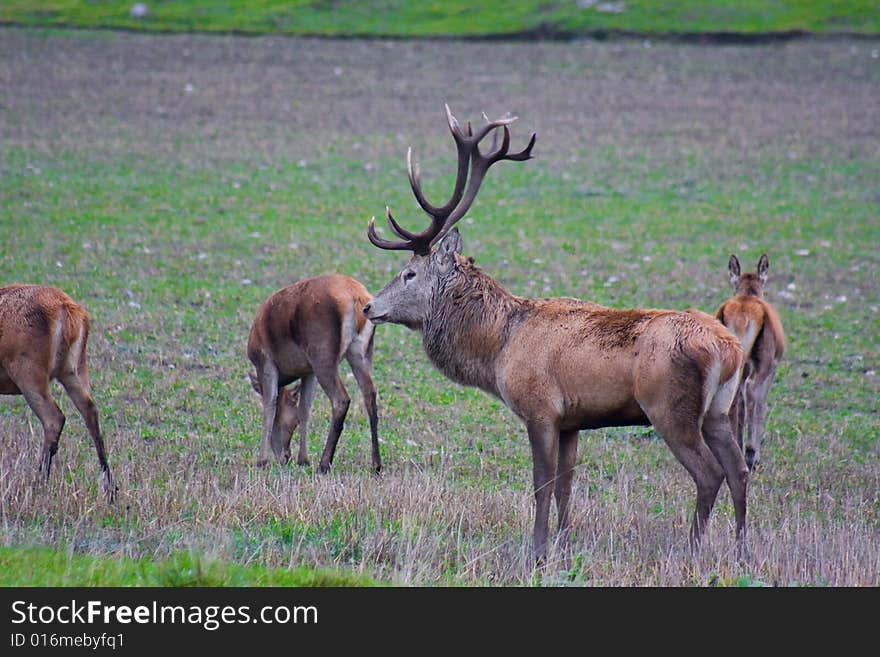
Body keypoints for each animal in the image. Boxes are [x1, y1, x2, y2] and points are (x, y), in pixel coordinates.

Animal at [0, 282, 115, 502]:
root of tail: (69, 310)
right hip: (75, 368)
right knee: (91, 412)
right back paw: (111, 490)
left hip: (28, 369)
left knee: (54, 417)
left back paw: (38, 484)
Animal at [246, 274, 380, 474]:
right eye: (293, 422)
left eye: (288, 422)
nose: (286, 457)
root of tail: (356, 298)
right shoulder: (308, 370)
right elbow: (305, 408)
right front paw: (304, 459)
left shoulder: (265, 363)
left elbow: (269, 406)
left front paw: (261, 461)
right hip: (360, 352)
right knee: (369, 394)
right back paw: (376, 464)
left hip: (322, 357)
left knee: (341, 399)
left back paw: (324, 464)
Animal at [364, 105, 748, 560]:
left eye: (408, 273)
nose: (369, 306)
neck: (498, 346)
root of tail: (730, 349)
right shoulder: (572, 421)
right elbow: (566, 486)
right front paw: (564, 543)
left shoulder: (540, 409)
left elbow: (542, 484)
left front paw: (537, 550)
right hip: (719, 410)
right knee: (740, 469)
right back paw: (743, 548)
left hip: (672, 408)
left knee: (709, 473)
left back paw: (692, 548)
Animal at [712, 252, 788, 472]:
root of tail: (744, 316)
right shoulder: (772, 367)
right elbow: (761, 402)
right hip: (763, 362)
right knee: (751, 390)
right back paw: (751, 454)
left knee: (735, 397)